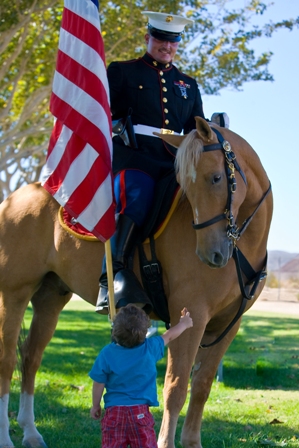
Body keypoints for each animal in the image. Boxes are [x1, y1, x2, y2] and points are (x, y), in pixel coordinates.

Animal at [0, 118, 274, 448]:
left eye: (217, 178)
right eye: (188, 188)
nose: (212, 254)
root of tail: (16, 196)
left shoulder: (226, 325)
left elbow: (202, 387)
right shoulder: (191, 314)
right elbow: (175, 388)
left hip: (50, 297)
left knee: (30, 356)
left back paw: (30, 431)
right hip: (14, 293)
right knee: (6, 359)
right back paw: (5, 436)